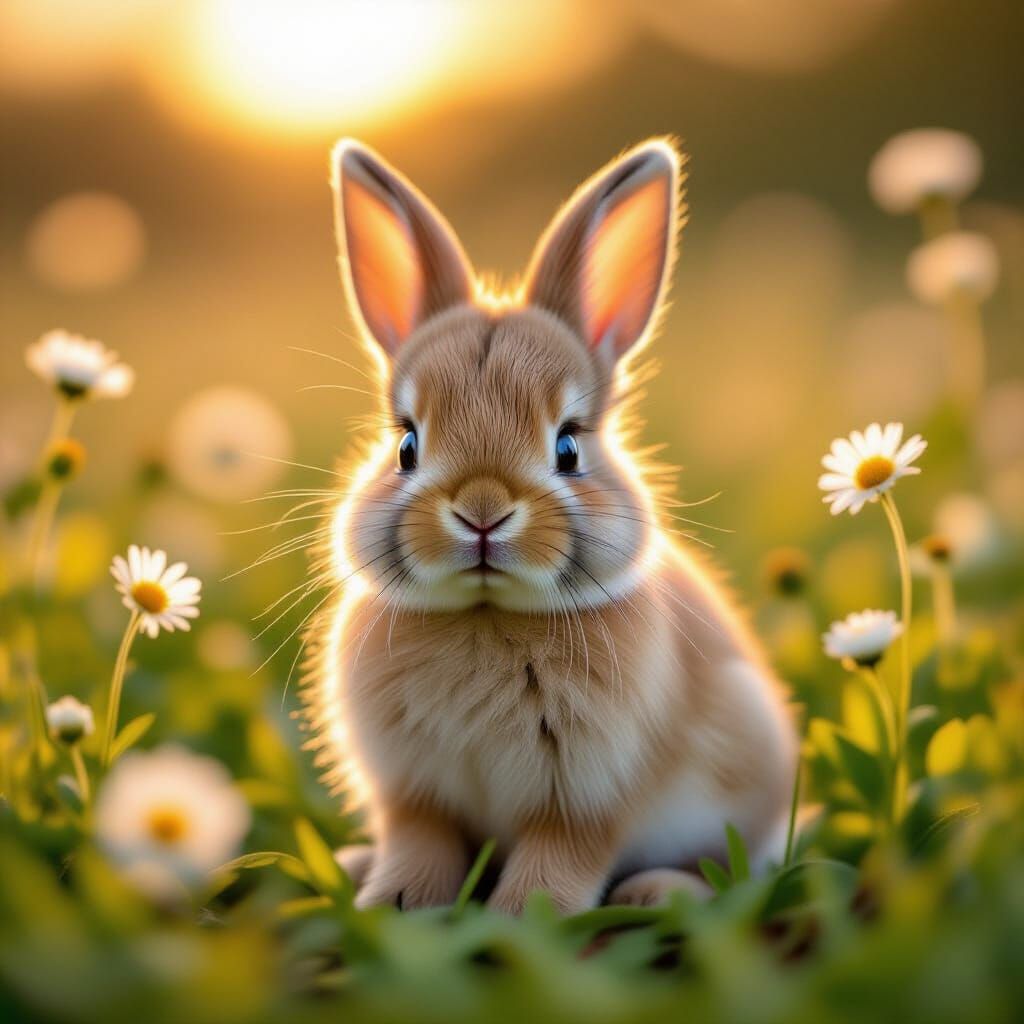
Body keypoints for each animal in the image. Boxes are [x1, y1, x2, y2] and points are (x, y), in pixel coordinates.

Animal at [302, 137, 797, 915]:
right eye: (406, 444)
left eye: (568, 447)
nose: (481, 512)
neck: (485, 613)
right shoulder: (414, 796)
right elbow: (421, 846)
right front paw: (395, 902)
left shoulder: (588, 800)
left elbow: (560, 858)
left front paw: (522, 915)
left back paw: (656, 893)